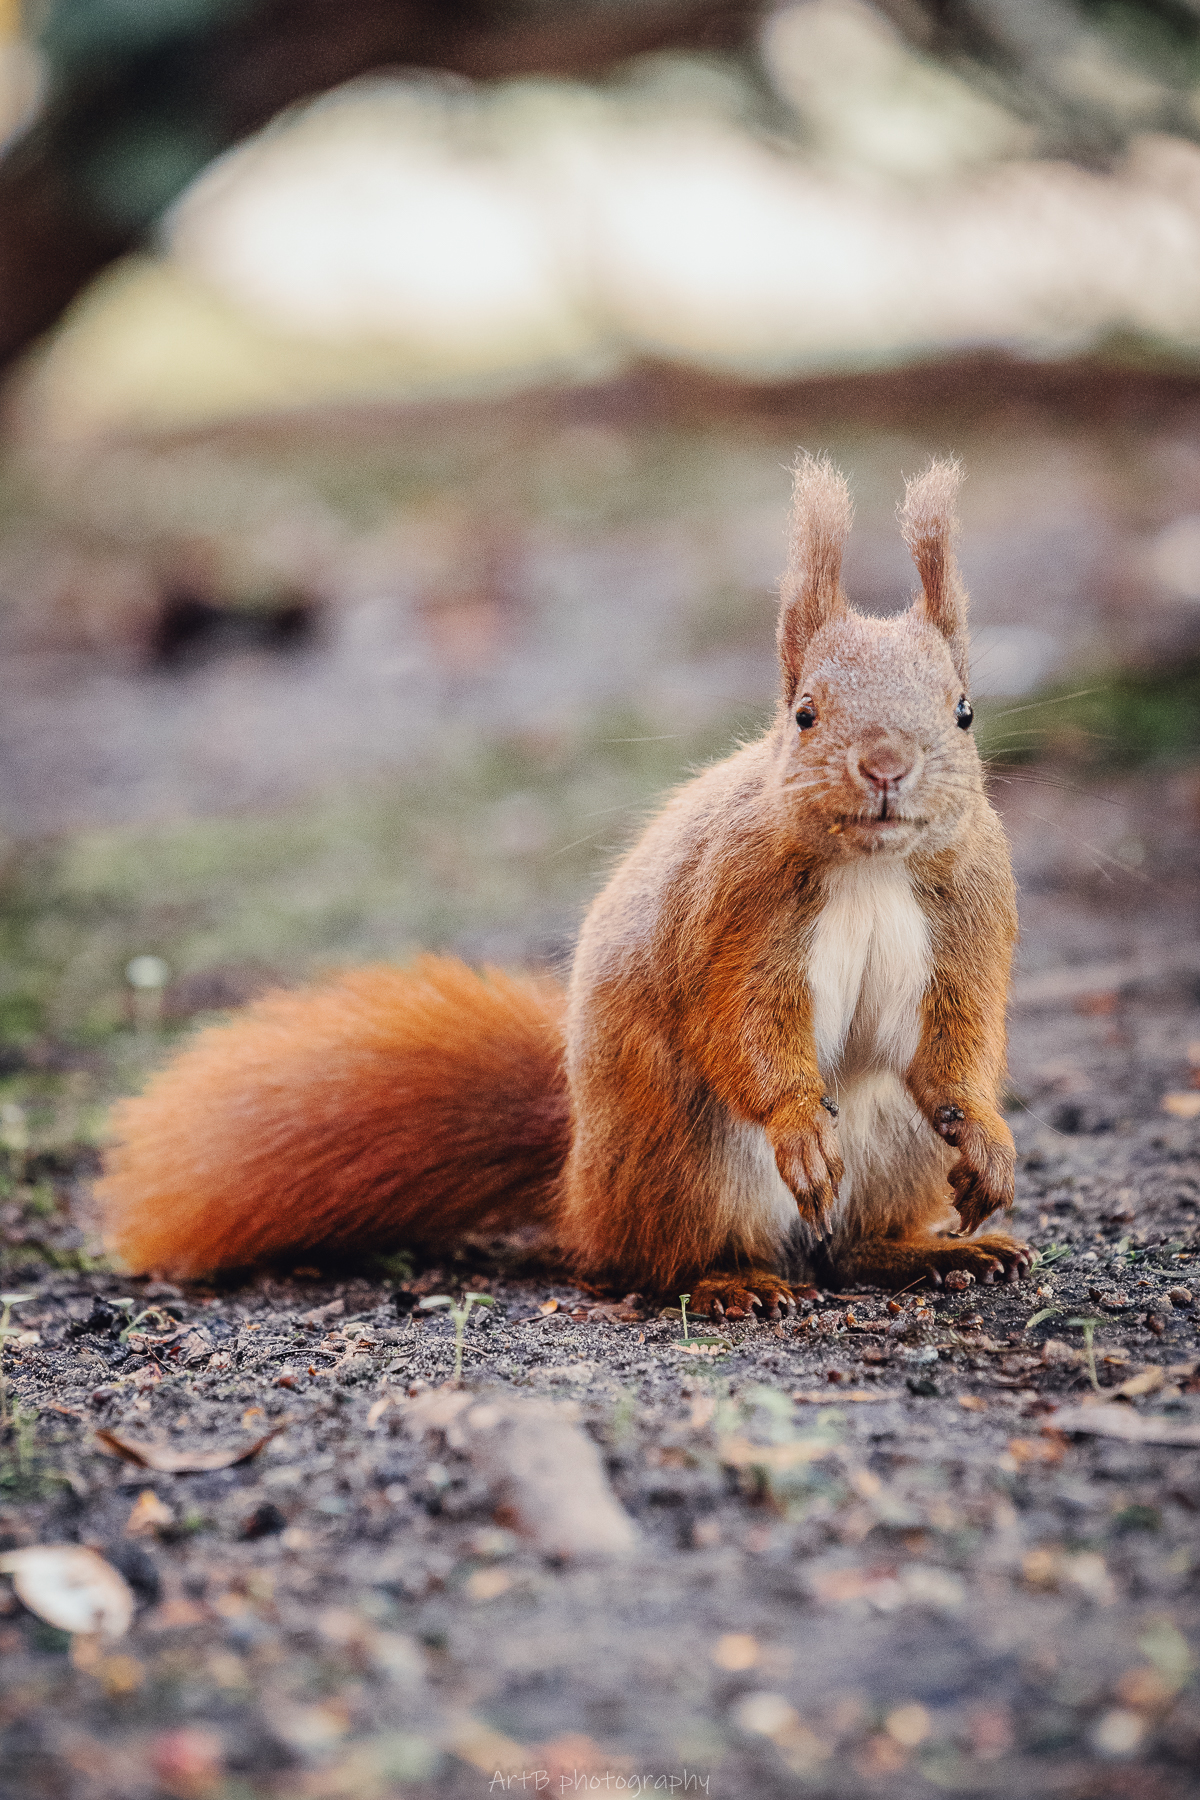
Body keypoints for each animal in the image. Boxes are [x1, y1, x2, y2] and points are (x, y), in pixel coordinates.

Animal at [96, 454, 1032, 1317]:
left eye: (963, 711)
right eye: (804, 713)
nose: (886, 765)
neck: (871, 866)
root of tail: (578, 1185)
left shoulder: (970, 913)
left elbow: (959, 1045)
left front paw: (988, 1142)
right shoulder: (736, 912)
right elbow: (744, 1028)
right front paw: (800, 1123)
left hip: (897, 1149)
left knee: (847, 1249)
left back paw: (930, 1252)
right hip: (689, 1166)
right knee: (654, 1265)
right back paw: (731, 1281)